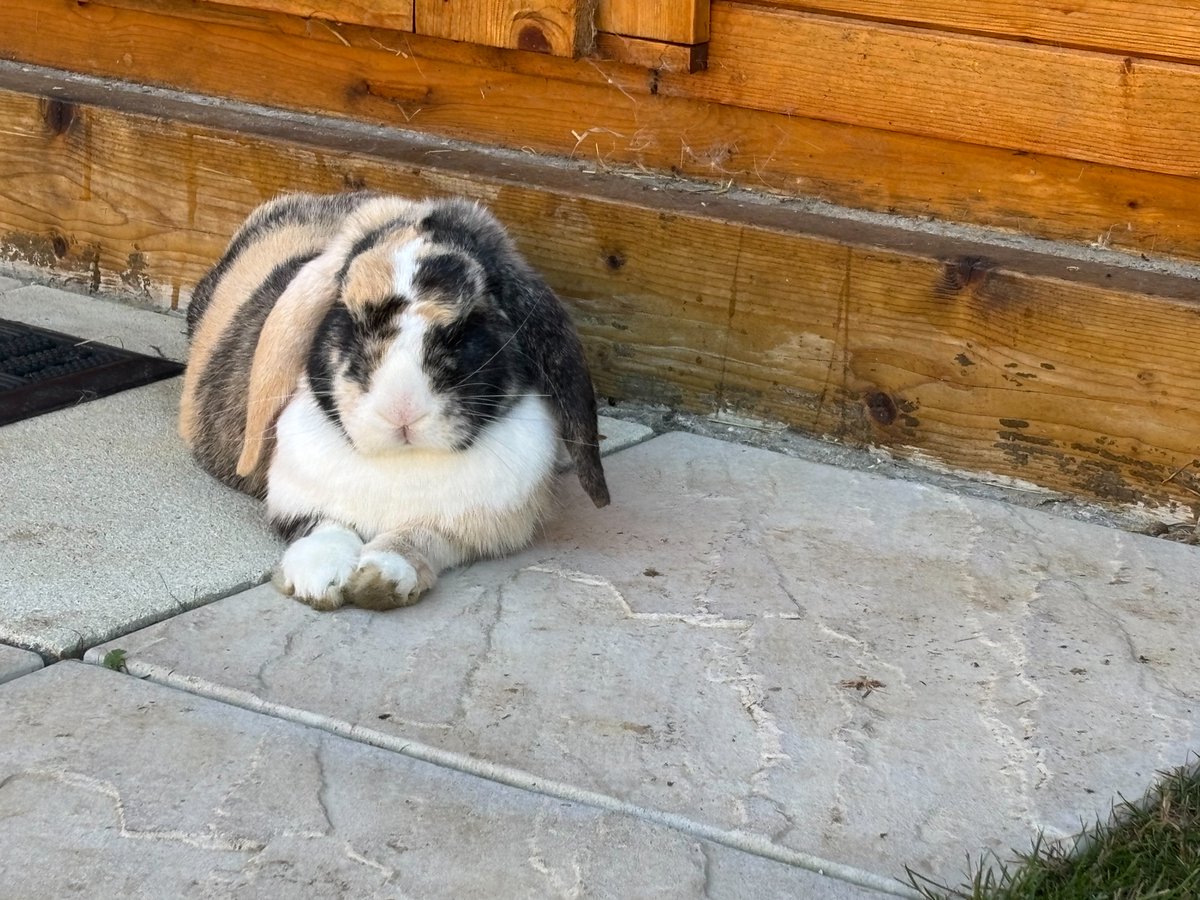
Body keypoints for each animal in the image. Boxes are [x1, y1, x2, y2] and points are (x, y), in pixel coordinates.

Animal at [180, 190, 609, 611]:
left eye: (470, 323)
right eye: (348, 317)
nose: (402, 410)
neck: (402, 463)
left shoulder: (473, 527)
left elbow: (417, 538)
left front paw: (382, 578)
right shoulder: (299, 502)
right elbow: (327, 528)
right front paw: (318, 577)